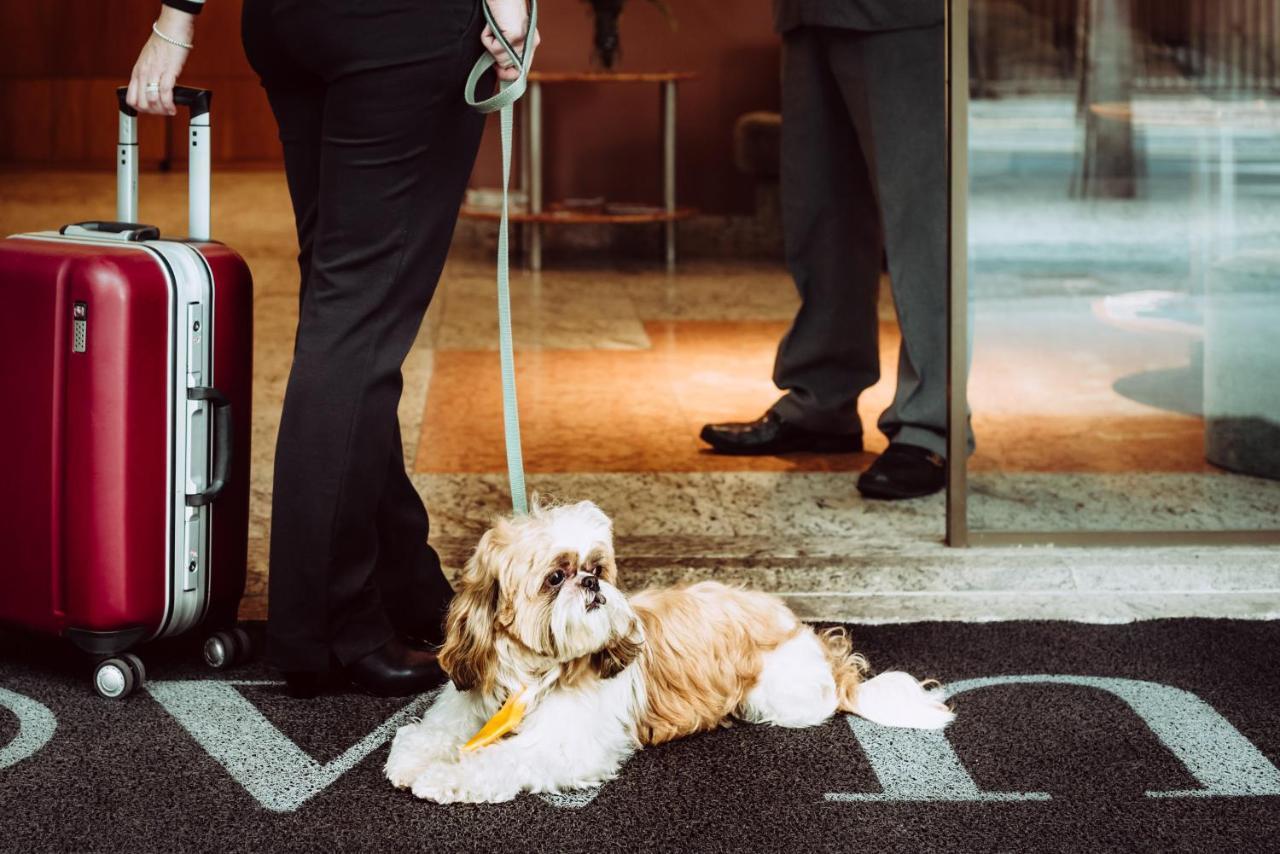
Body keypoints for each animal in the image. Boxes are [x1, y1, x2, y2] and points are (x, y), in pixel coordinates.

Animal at [384, 496, 957, 804]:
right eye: (555, 577)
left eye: (596, 567)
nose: (592, 584)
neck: (530, 674)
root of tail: (814, 642)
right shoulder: (465, 703)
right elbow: (420, 737)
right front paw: (416, 761)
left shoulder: (564, 747)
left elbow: (499, 759)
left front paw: (446, 776)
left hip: (780, 696)